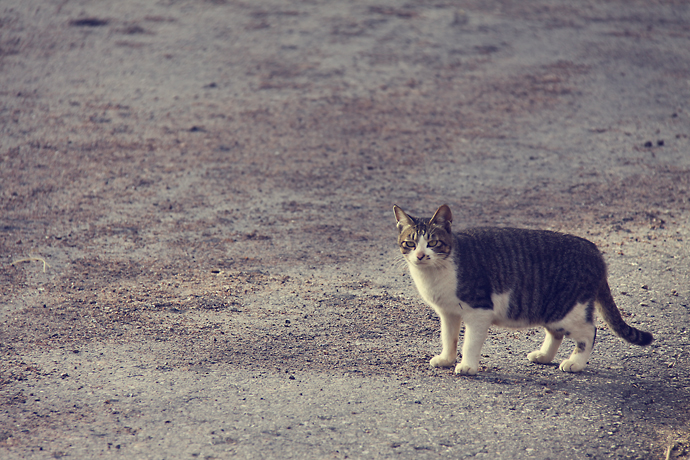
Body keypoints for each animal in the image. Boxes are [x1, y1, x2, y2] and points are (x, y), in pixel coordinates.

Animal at [392, 204, 652, 374]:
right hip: (550, 309)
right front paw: (446, 359)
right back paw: (544, 356)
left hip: (568, 310)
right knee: (556, 333)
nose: (420, 255)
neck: (435, 274)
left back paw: (575, 363)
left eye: (433, 242)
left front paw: (467, 366)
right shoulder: (448, 313)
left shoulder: (479, 310)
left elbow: (470, 343)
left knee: (589, 332)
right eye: (410, 243)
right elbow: (449, 337)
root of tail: (594, 250)